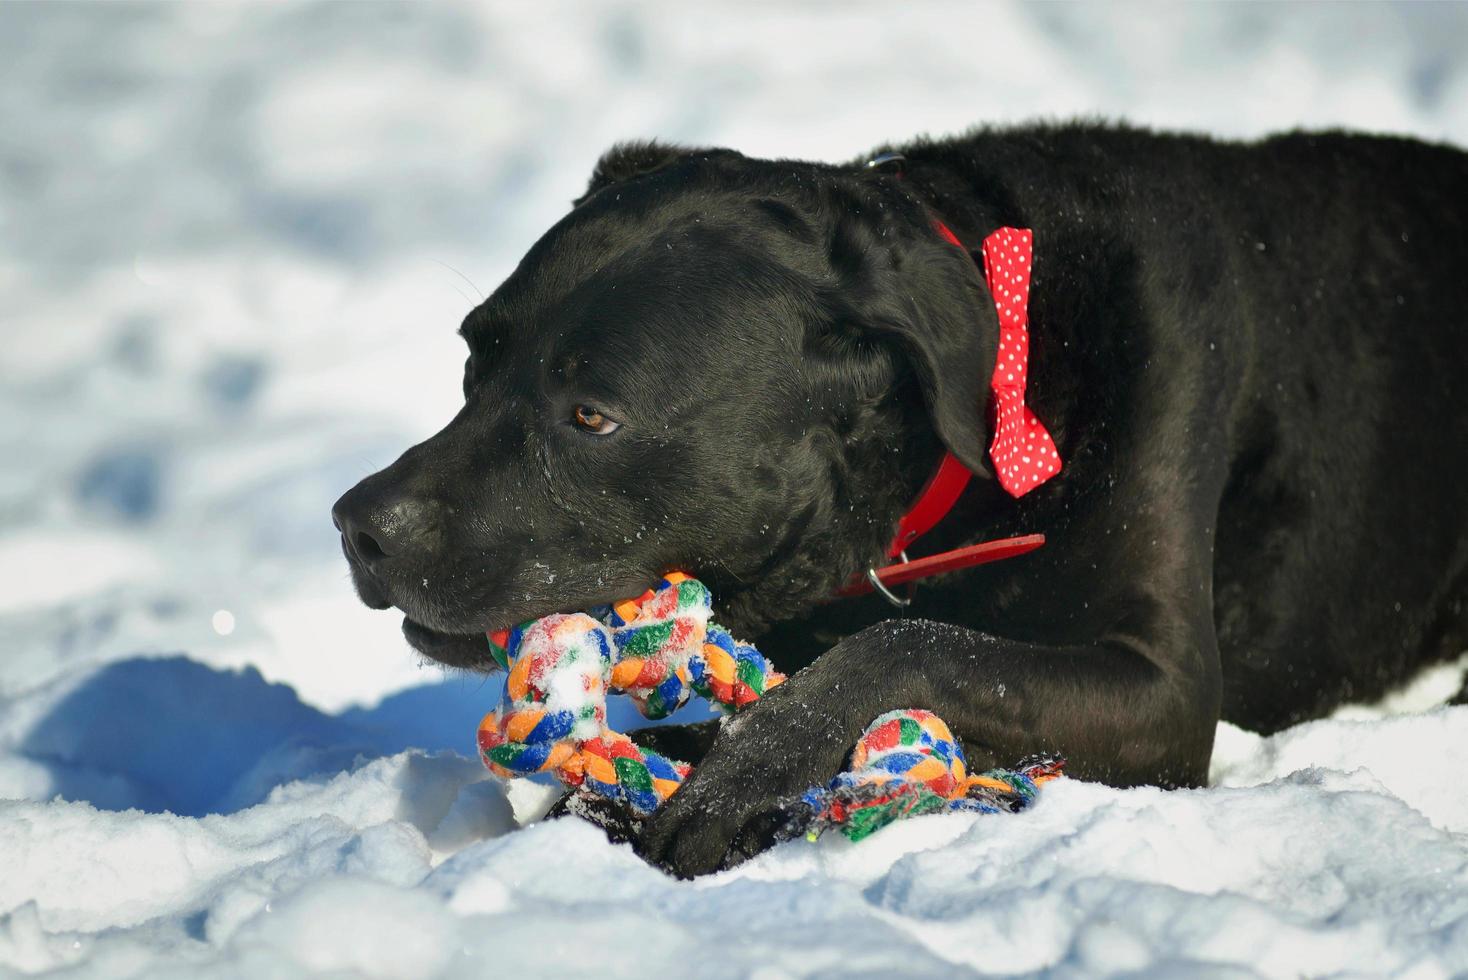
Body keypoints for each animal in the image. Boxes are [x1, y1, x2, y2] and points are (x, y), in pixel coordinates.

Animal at [333, 118, 1468, 874]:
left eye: (591, 415)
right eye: (476, 355)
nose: (357, 525)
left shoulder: (1164, 691)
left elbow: (912, 641)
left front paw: (743, 774)